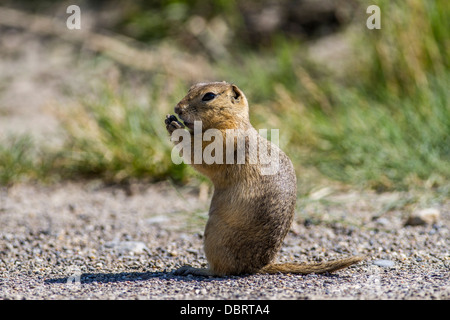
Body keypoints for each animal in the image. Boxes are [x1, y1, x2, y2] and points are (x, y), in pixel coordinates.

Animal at [163, 81, 364, 276]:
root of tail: (260, 266)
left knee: (221, 271)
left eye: (209, 96)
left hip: (214, 236)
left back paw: (193, 269)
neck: (230, 122)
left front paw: (175, 127)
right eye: (191, 88)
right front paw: (169, 119)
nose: (177, 108)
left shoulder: (223, 140)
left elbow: (201, 154)